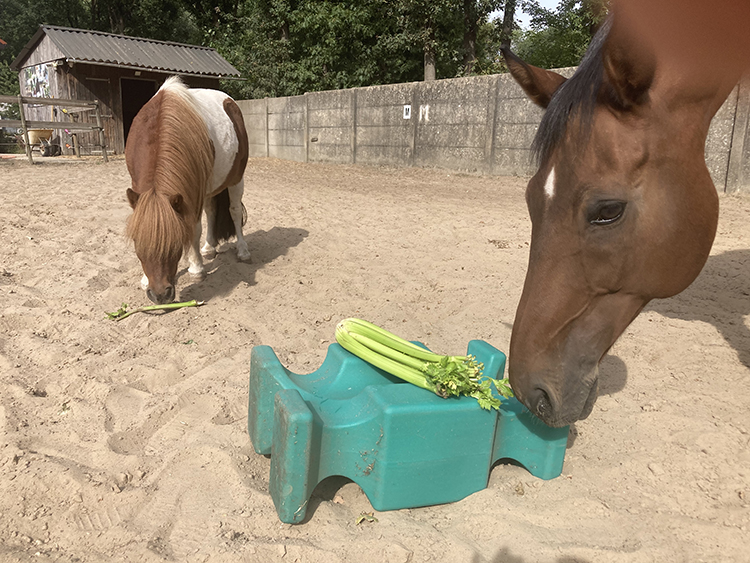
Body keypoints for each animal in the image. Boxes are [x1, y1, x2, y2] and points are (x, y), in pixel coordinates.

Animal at [125, 76, 251, 304]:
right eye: (137, 242)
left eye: (175, 243)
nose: (160, 295)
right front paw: (145, 280)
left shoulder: (192, 194)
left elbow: (194, 229)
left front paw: (197, 268)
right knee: (212, 211)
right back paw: (209, 247)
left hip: (236, 179)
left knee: (235, 212)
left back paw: (243, 250)